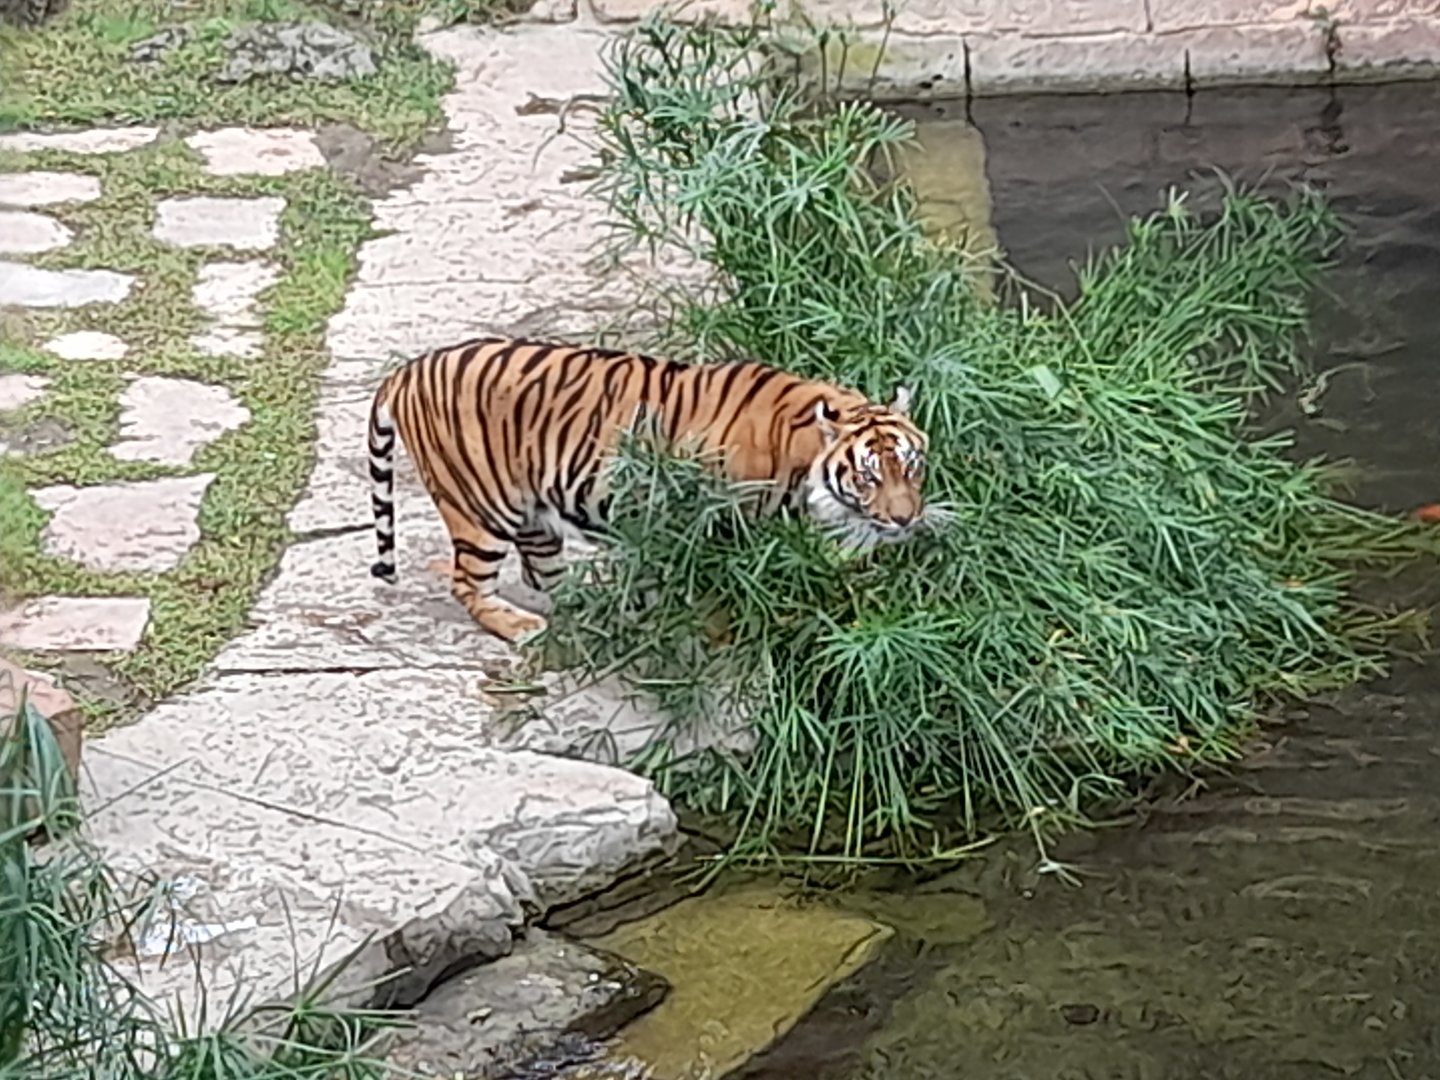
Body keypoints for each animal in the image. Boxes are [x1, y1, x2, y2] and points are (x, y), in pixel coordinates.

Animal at [366, 335, 930, 642]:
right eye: (868, 476)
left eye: (912, 466)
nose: (906, 519)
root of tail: (405, 370)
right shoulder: (719, 524)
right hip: (481, 509)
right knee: (468, 584)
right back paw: (523, 627)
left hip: (534, 515)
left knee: (543, 574)